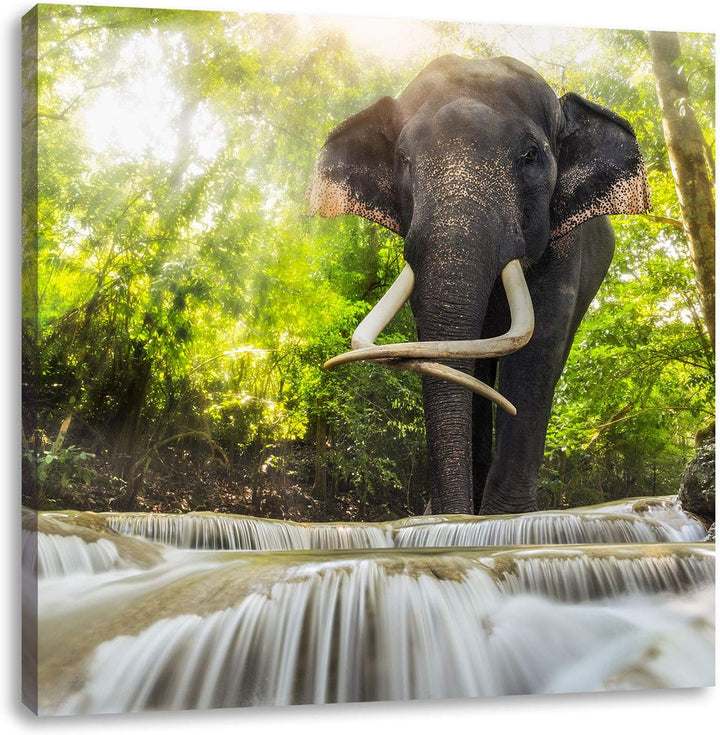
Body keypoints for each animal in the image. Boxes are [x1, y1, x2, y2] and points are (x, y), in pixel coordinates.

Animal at [307, 55, 650, 516]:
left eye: (530, 155)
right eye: (403, 159)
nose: (446, 513)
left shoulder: (565, 244)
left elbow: (539, 345)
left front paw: (505, 519)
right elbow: (442, 349)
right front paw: (451, 517)